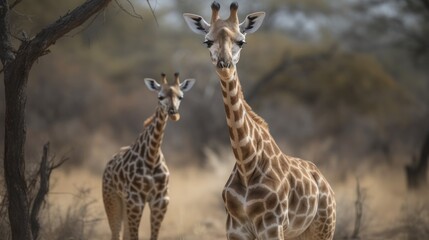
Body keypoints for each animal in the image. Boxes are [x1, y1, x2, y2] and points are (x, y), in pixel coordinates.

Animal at [101, 73, 195, 240]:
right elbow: (134, 237)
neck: (152, 156)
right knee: (115, 234)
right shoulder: (135, 200)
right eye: (160, 96)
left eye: (181, 96)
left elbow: (152, 236)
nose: (174, 114)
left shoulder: (161, 200)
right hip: (112, 198)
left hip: (125, 202)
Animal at [182, 2, 336, 240]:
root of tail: (323, 180)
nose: (224, 65)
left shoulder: (271, 225)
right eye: (207, 41)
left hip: (324, 228)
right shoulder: (235, 227)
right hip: (299, 234)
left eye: (241, 41)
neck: (246, 165)